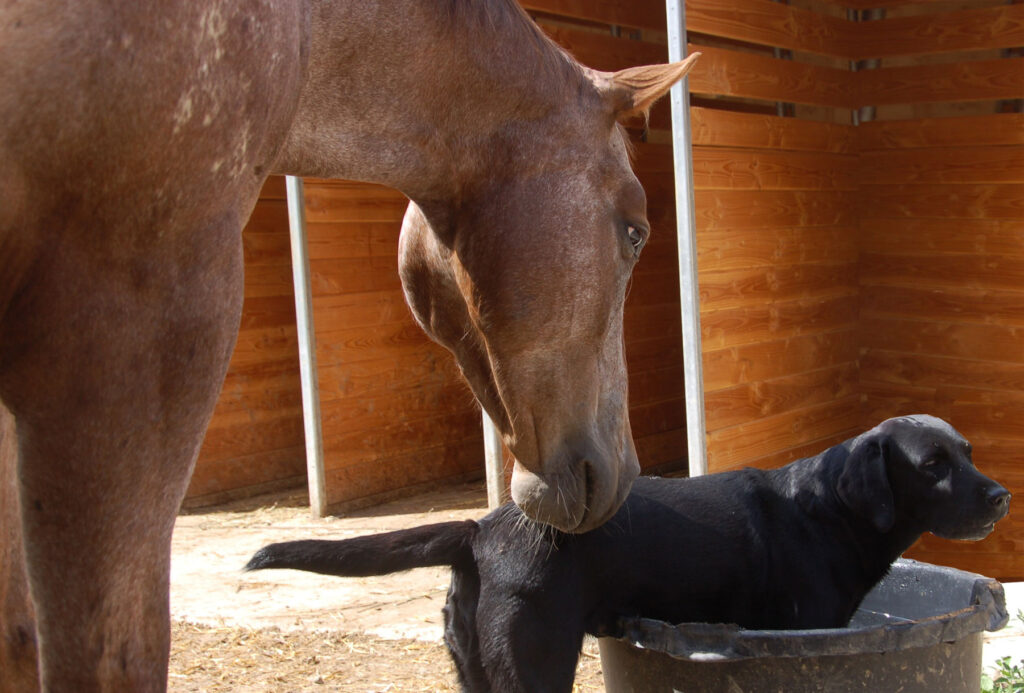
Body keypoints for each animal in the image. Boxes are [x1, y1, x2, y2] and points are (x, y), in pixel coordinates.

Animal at [245, 413, 1007, 687]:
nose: (1001, 495)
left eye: (969, 451)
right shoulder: (801, 632)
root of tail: (481, 529)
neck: (830, 510)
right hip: (534, 662)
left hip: (472, 667)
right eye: (933, 464)